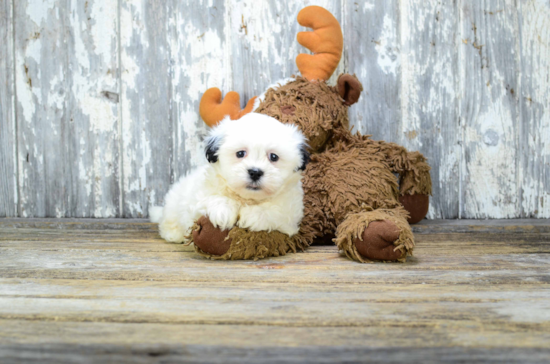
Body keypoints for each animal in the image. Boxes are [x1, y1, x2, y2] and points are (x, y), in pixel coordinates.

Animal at [150, 112, 310, 243]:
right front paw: (223, 211)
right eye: (240, 153)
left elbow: (275, 211)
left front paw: (253, 215)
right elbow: (210, 199)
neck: (247, 198)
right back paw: (174, 234)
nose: (255, 172)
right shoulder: (199, 197)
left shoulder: (291, 213)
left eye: (274, 157)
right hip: (174, 204)